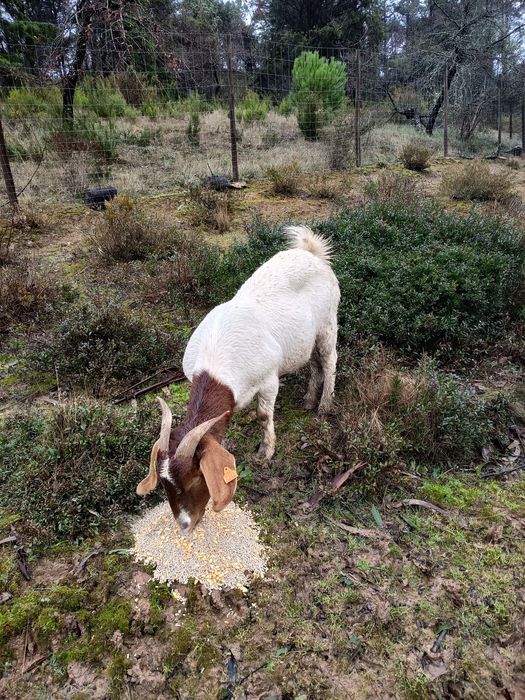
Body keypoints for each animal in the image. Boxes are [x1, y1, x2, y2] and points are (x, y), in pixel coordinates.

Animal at [136, 225, 340, 532]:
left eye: (196, 478)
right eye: (163, 483)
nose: (184, 525)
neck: (216, 361)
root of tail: (311, 252)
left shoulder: (268, 380)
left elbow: (263, 416)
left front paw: (265, 453)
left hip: (328, 322)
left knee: (329, 361)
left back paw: (325, 405)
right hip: (306, 339)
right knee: (315, 363)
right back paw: (308, 400)